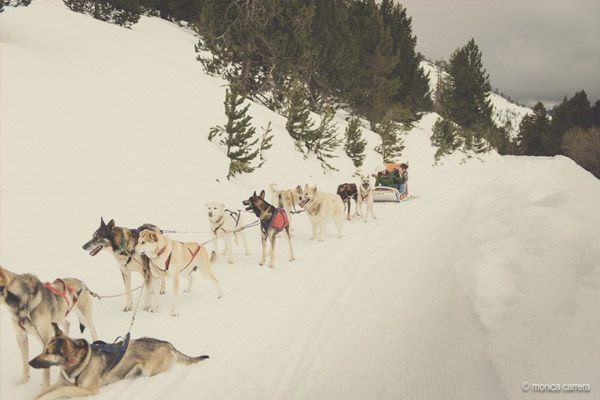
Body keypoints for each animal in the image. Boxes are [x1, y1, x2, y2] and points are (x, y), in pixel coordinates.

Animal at [30, 324, 209, 398]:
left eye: (48, 352)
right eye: (43, 349)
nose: (29, 363)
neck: (74, 361)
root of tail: (167, 343)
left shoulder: (88, 390)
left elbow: (60, 391)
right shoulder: (61, 383)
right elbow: (42, 392)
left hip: (149, 371)